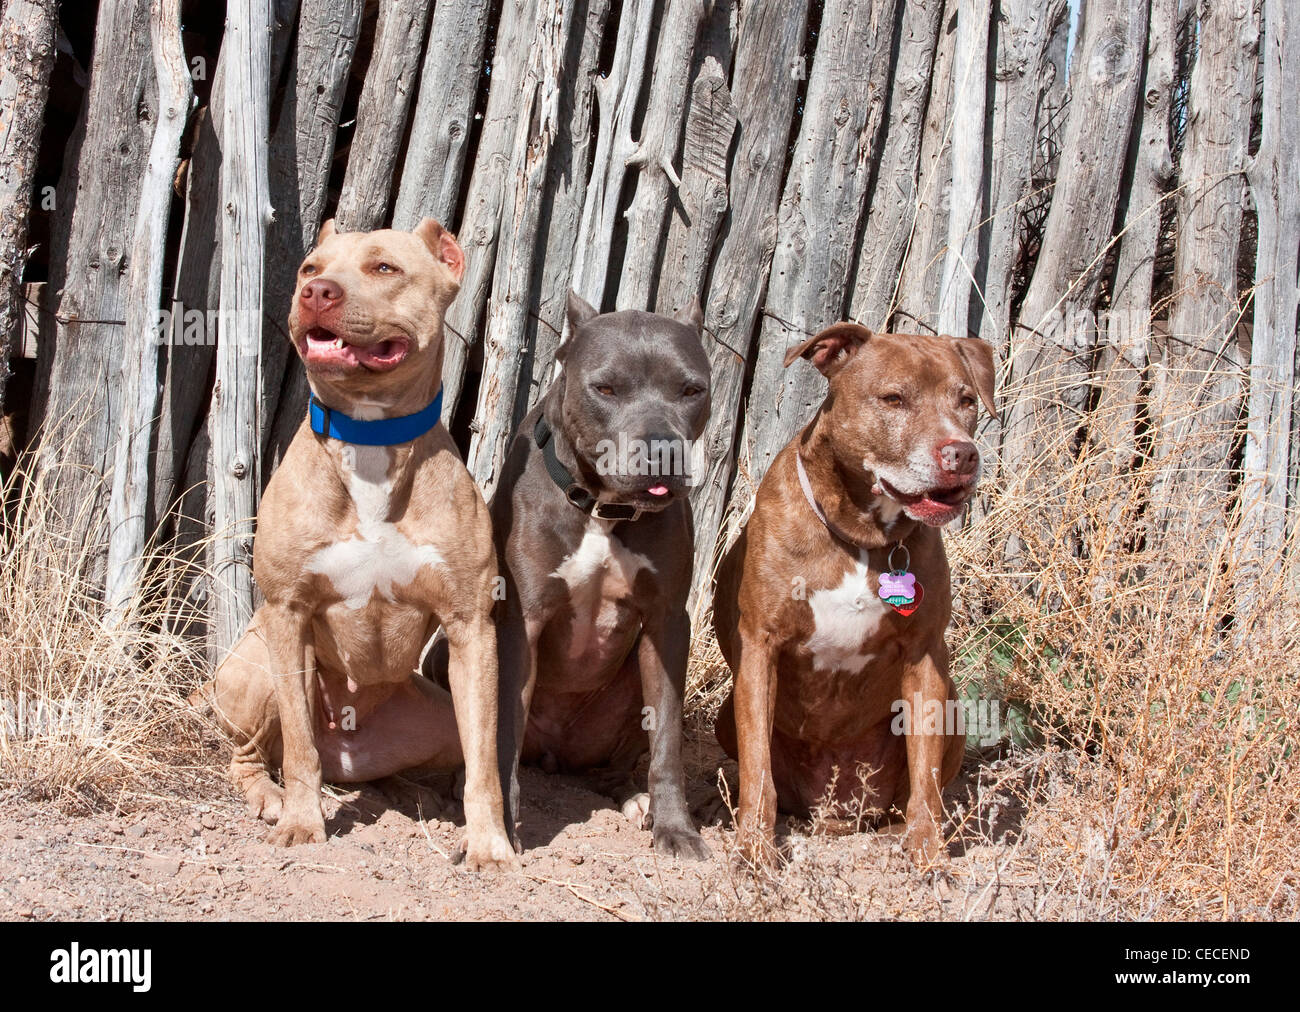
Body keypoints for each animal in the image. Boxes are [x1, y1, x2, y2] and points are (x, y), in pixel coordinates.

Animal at [200, 218, 514, 868]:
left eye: (384, 268)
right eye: (309, 269)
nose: (316, 294)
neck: (370, 435)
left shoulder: (471, 626)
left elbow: (485, 762)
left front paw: (488, 843)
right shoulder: (288, 613)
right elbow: (299, 748)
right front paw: (301, 823)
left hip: (434, 715)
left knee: (431, 757)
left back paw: (419, 795)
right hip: (255, 663)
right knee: (257, 755)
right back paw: (269, 795)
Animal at [488, 287, 712, 853]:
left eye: (691, 389)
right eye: (605, 388)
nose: (662, 449)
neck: (603, 508)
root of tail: (552, 754)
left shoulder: (668, 623)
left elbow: (667, 737)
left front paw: (676, 827)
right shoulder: (521, 622)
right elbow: (503, 731)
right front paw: (500, 828)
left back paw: (633, 798)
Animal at [712, 323, 993, 858]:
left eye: (966, 399)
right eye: (894, 398)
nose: (963, 453)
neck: (862, 535)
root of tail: (836, 811)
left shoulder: (926, 657)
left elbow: (925, 778)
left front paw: (931, 856)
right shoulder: (760, 646)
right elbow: (758, 772)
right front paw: (755, 852)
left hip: (951, 708)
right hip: (725, 716)